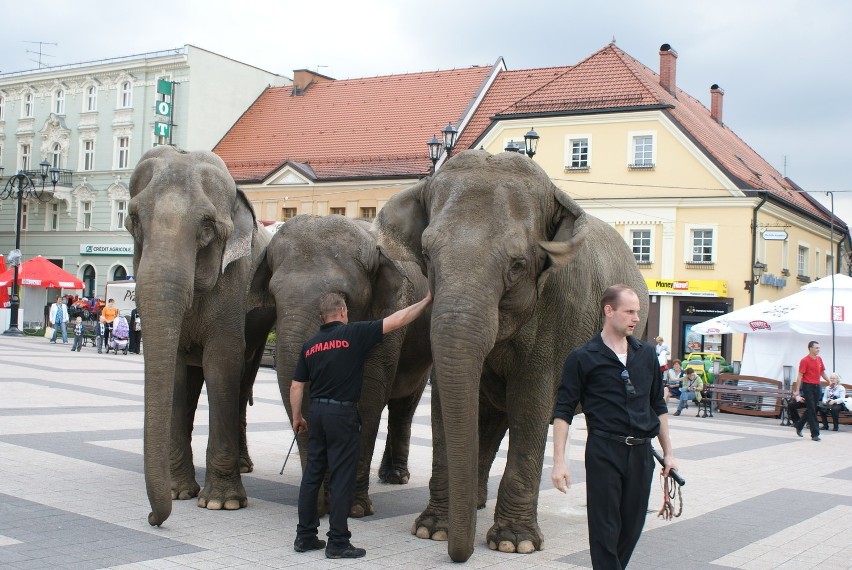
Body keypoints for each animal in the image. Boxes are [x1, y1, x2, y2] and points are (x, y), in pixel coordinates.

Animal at [128, 145, 274, 524]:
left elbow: (222, 363)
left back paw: (244, 465)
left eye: (207, 226)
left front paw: (222, 503)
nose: (153, 519)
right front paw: (178, 493)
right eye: (133, 219)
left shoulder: (235, 285)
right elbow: (178, 374)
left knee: (242, 383)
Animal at [376, 148, 648, 560]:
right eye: (426, 254)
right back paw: (473, 505)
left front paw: (513, 543)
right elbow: (444, 406)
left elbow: (531, 403)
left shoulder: (559, 311)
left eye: (518, 265)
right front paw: (432, 530)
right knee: (490, 417)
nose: (459, 555)